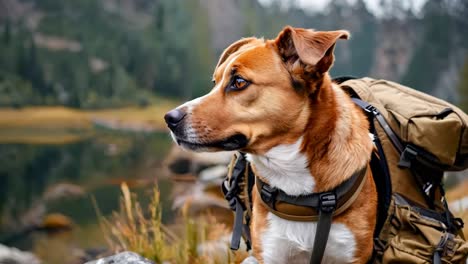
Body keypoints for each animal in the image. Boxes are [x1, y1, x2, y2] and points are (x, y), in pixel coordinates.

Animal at [165, 25, 376, 262]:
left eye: (239, 82)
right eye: (215, 82)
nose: (170, 118)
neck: (290, 174)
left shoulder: (352, 254)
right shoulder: (271, 251)